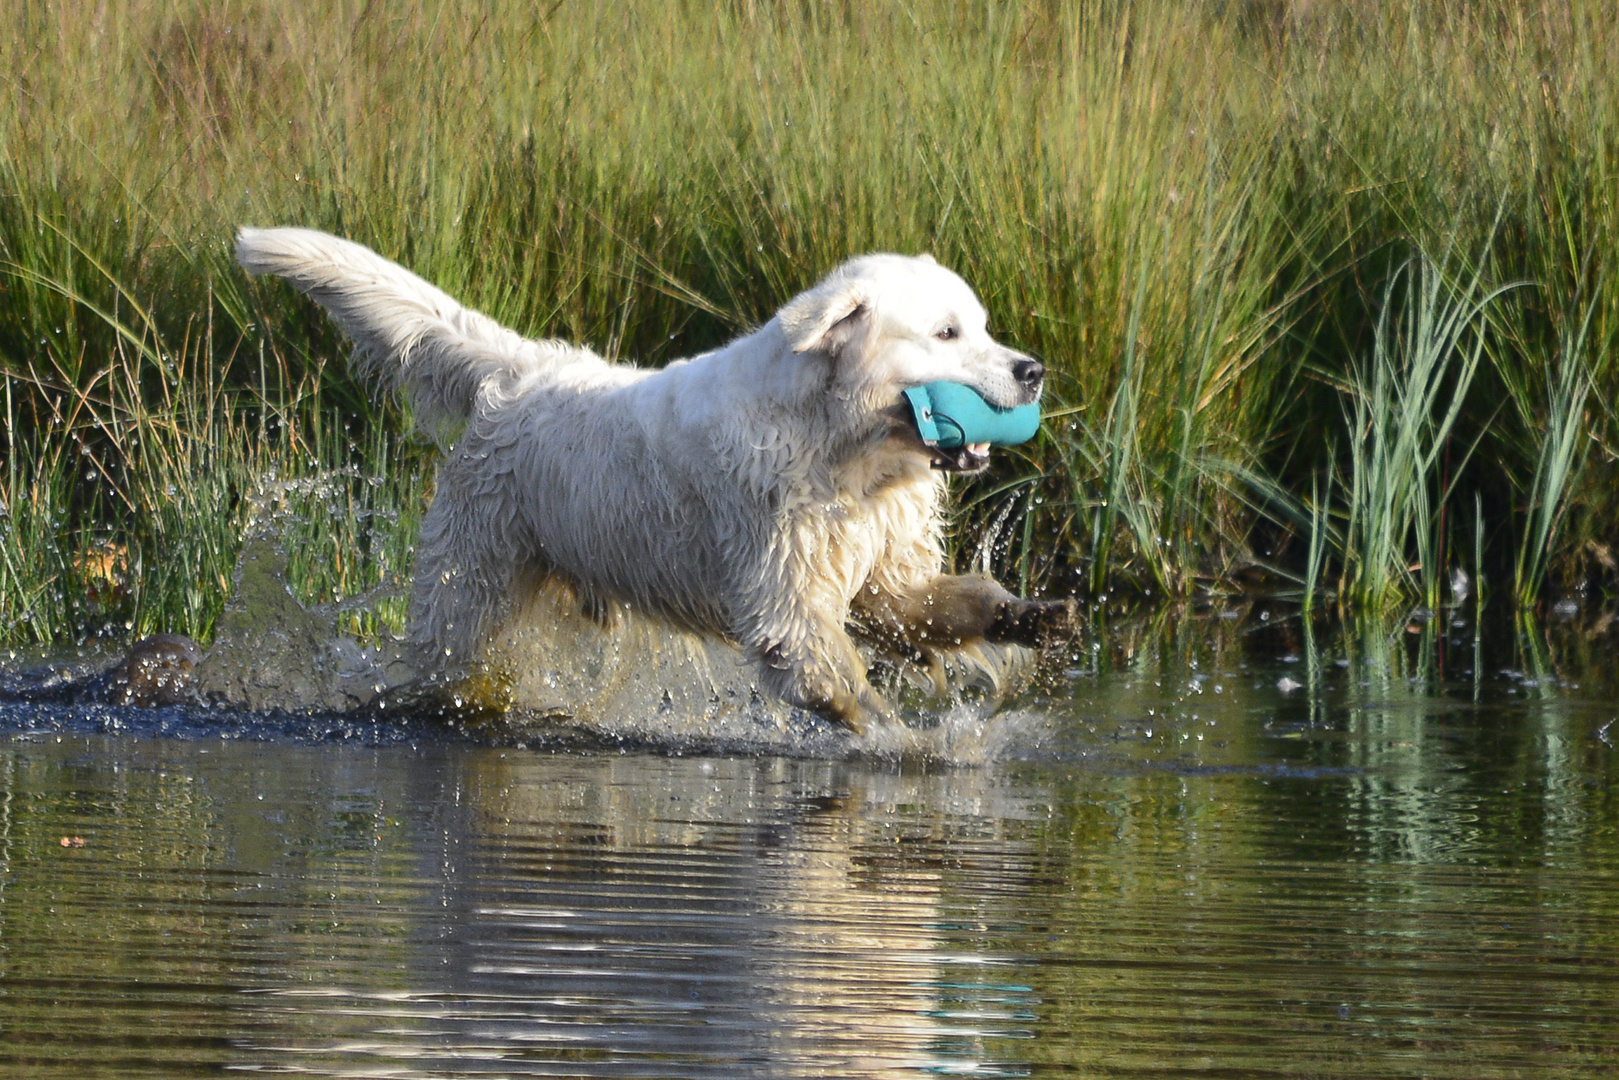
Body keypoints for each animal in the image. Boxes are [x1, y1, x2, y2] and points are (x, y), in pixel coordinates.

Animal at [236, 231, 1075, 731]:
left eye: (982, 327)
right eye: (946, 334)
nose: (1033, 370)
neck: (841, 447)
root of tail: (518, 368)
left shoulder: (880, 572)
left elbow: (936, 603)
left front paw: (1028, 616)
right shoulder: (784, 600)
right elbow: (842, 683)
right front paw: (902, 743)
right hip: (469, 594)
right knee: (446, 674)